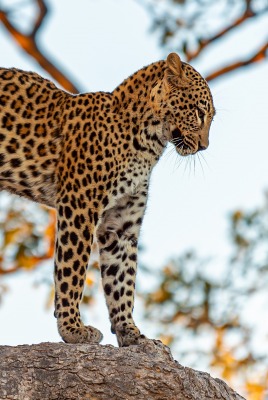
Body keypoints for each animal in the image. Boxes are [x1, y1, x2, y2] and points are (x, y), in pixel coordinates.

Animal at [0, 53, 214, 346]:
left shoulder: (121, 224)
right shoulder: (78, 205)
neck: (148, 144)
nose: (204, 146)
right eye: (200, 112)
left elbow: (122, 278)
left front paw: (130, 332)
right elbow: (72, 269)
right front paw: (72, 329)